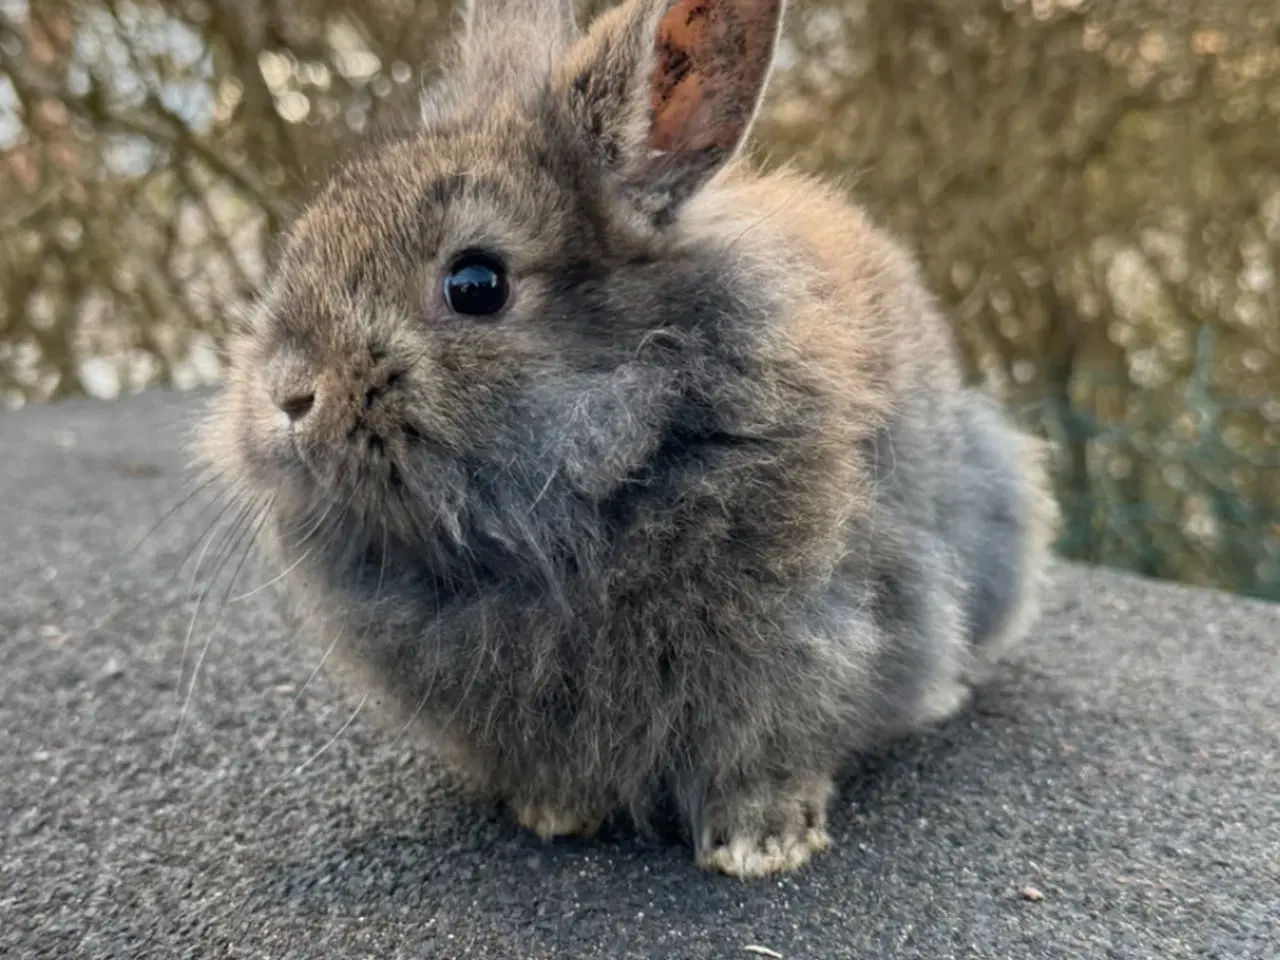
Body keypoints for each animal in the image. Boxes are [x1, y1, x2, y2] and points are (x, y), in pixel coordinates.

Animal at [197, 0, 1059, 880]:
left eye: (476, 284)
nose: (288, 396)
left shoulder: (813, 635)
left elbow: (775, 743)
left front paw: (762, 842)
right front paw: (555, 813)